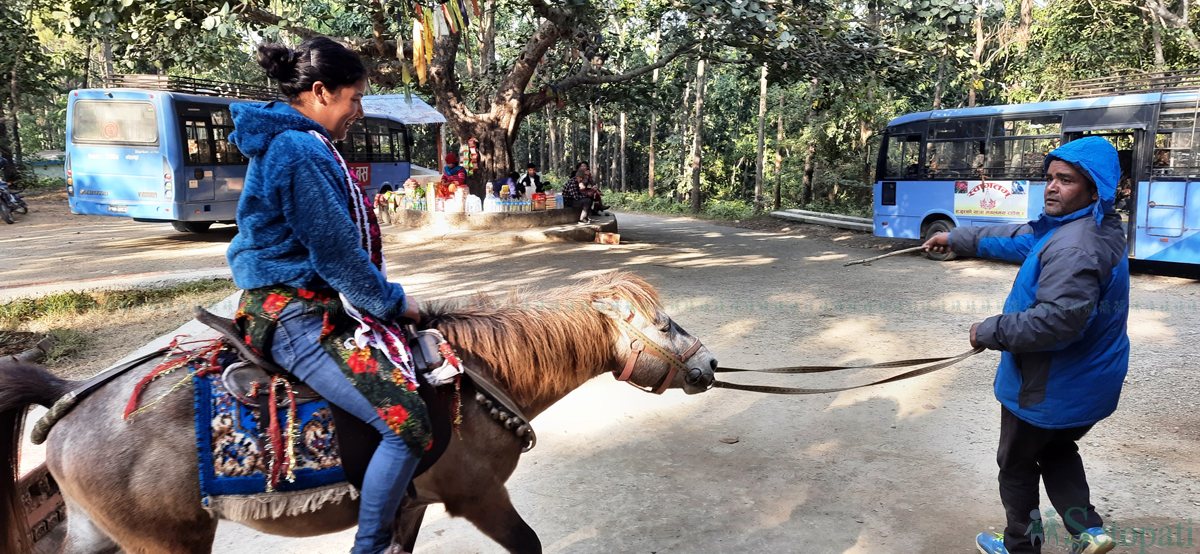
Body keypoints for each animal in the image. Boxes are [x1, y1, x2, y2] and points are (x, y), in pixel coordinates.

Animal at [0, 272, 710, 554]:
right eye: (665, 325)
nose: (709, 364)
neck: (478, 376)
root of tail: (69, 392)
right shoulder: (478, 496)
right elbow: (529, 544)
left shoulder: (410, 500)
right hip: (167, 542)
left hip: (96, 532)